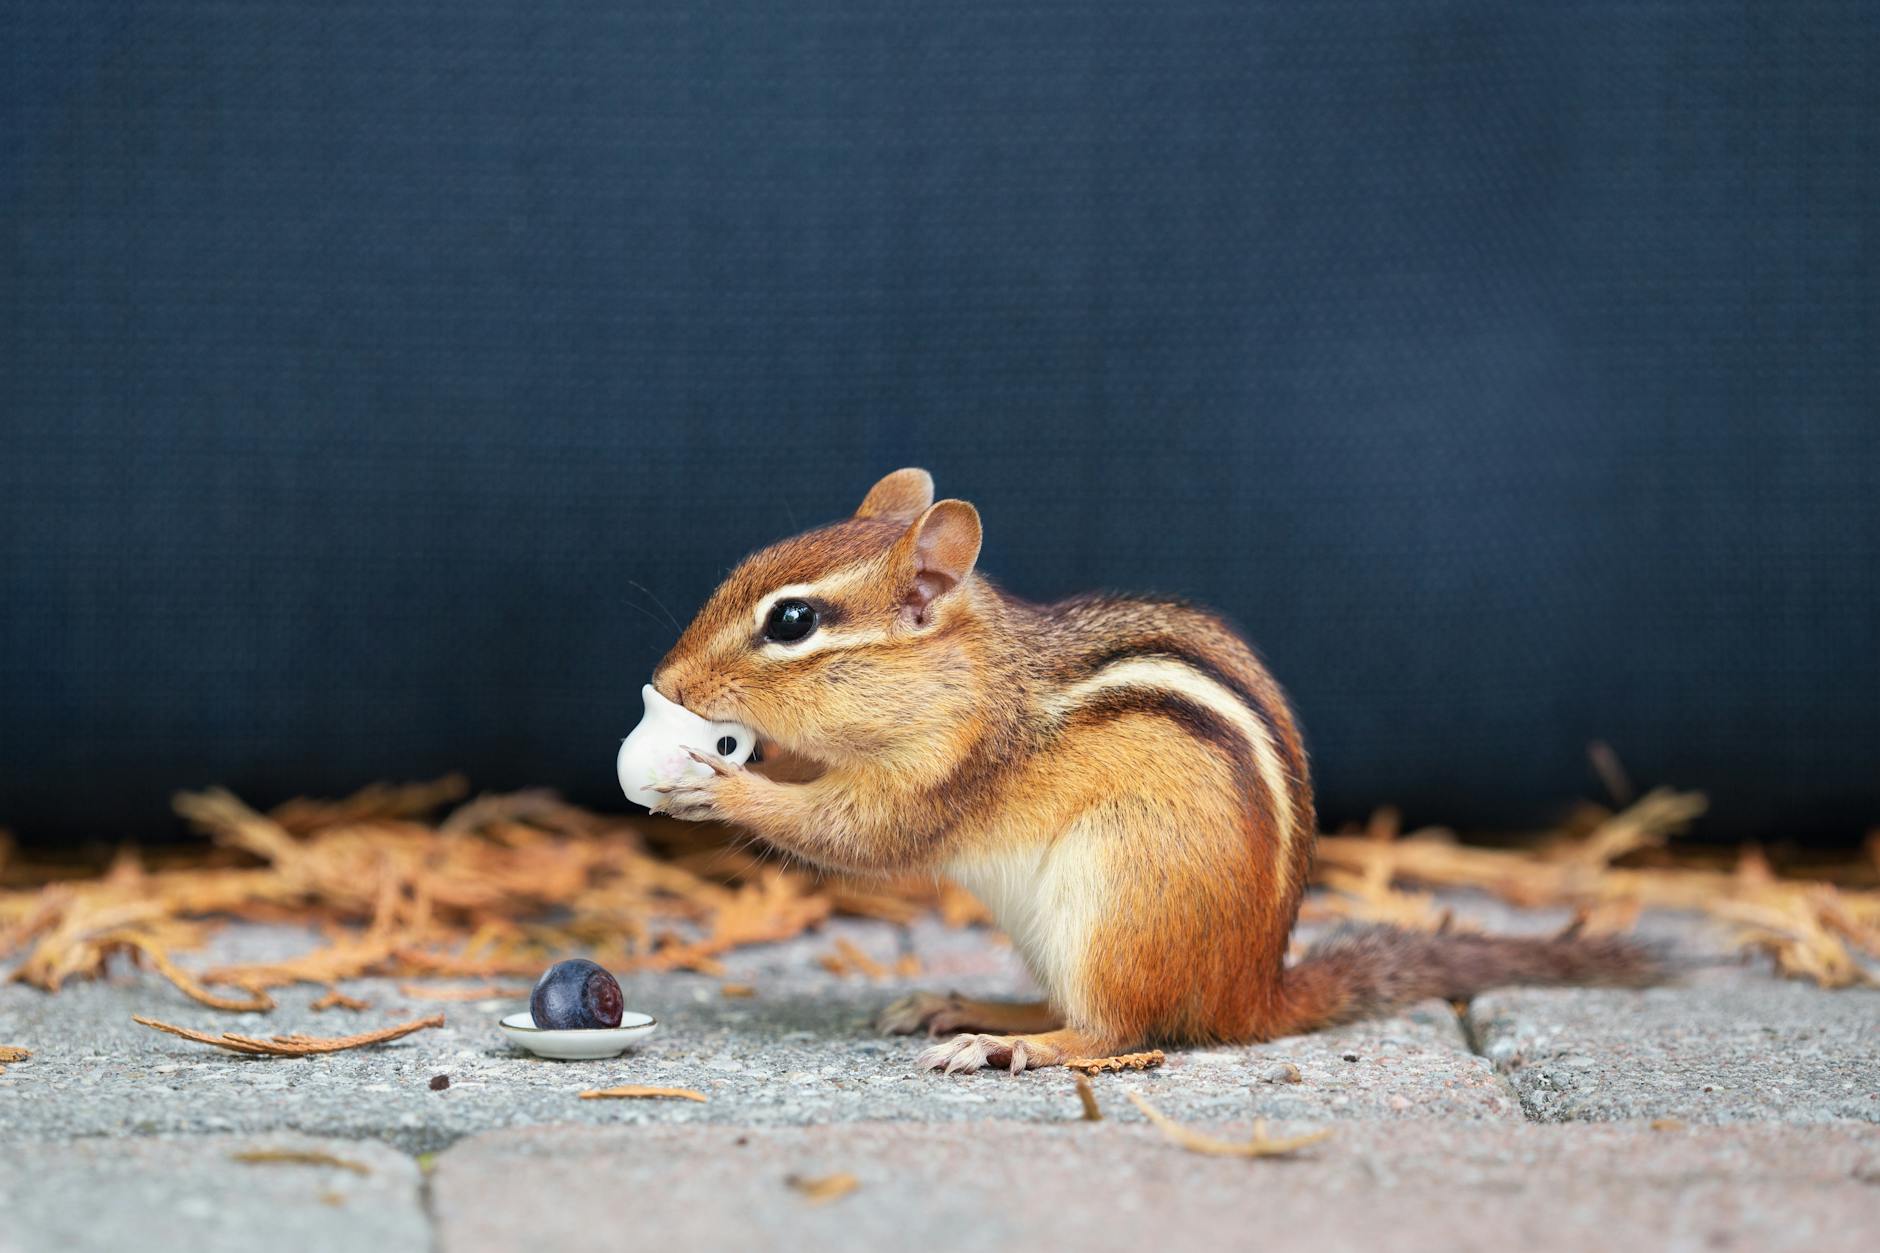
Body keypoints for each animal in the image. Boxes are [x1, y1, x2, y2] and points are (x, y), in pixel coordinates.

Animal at [648, 468, 1660, 1073]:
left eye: (791, 622)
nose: (666, 682)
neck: (974, 675)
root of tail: (1252, 995)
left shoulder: (948, 772)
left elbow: (857, 834)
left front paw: (719, 783)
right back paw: (966, 1004)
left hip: (1117, 892)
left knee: (1112, 1029)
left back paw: (1007, 1046)